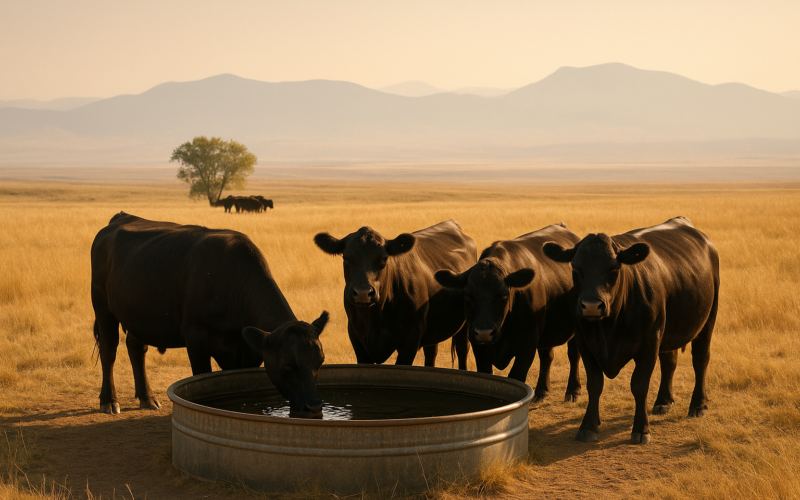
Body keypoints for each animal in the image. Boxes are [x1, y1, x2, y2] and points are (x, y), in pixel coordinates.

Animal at [91, 212, 328, 418]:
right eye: (287, 364)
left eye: (320, 361)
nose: (314, 406)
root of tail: (121, 218)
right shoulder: (196, 338)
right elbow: (200, 375)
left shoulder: (248, 353)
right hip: (102, 305)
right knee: (109, 351)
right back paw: (109, 401)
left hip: (138, 315)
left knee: (136, 348)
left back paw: (147, 398)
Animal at [314, 220, 476, 368]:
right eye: (346, 258)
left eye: (384, 259)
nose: (362, 293)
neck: (375, 317)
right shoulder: (356, 337)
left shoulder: (411, 338)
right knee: (431, 352)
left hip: (465, 324)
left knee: (462, 350)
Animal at [435, 223, 582, 402]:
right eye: (467, 294)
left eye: (504, 294)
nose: (484, 332)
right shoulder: (477, 343)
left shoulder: (528, 343)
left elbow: (516, 377)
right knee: (547, 356)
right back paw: (542, 391)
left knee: (573, 354)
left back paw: (573, 391)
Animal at [542, 216, 719, 444]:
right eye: (575, 268)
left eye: (614, 268)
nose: (591, 306)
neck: (608, 328)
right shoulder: (585, 343)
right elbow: (594, 384)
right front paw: (588, 426)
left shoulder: (649, 343)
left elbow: (639, 385)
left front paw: (641, 429)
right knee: (669, 362)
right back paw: (663, 401)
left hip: (708, 320)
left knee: (700, 359)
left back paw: (698, 405)